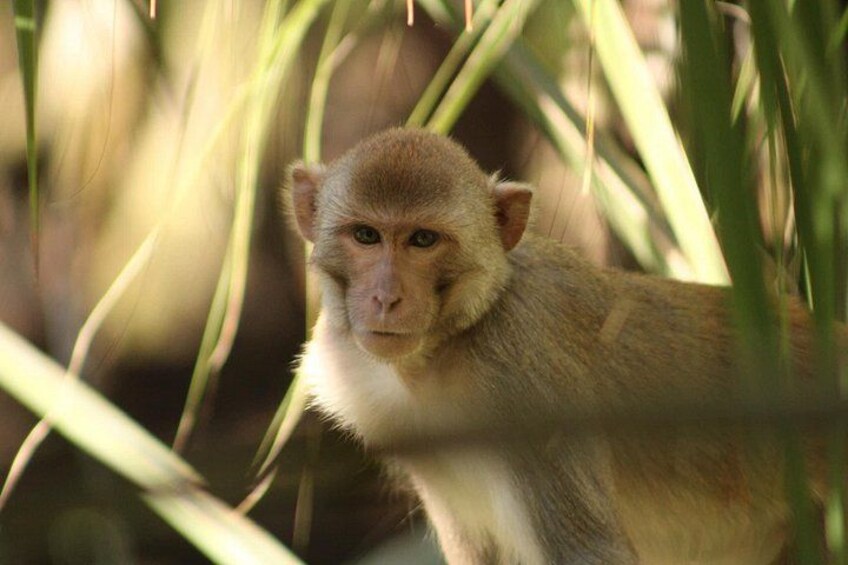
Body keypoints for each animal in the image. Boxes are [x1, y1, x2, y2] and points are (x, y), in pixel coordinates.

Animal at [285, 127, 847, 564]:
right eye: (366, 235)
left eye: (423, 240)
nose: (385, 297)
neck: (445, 351)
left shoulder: (526, 387)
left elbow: (592, 551)